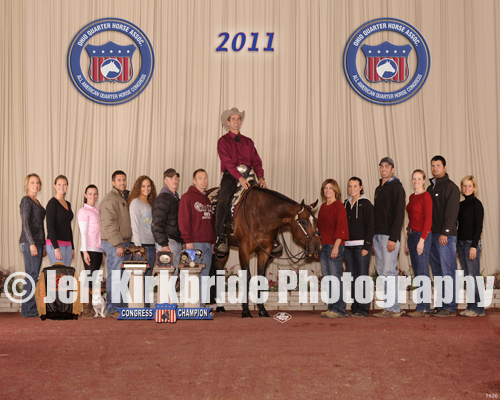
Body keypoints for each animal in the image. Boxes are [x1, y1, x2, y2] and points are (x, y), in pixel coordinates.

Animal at [212, 187, 322, 318]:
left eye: (316, 221)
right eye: (304, 222)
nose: (317, 246)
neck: (260, 214)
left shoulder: (265, 251)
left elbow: (260, 278)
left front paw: (262, 310)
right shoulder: (244, 249)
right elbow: (246, 277)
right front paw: (246, 311)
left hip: (223, 253)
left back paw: (220, 306)